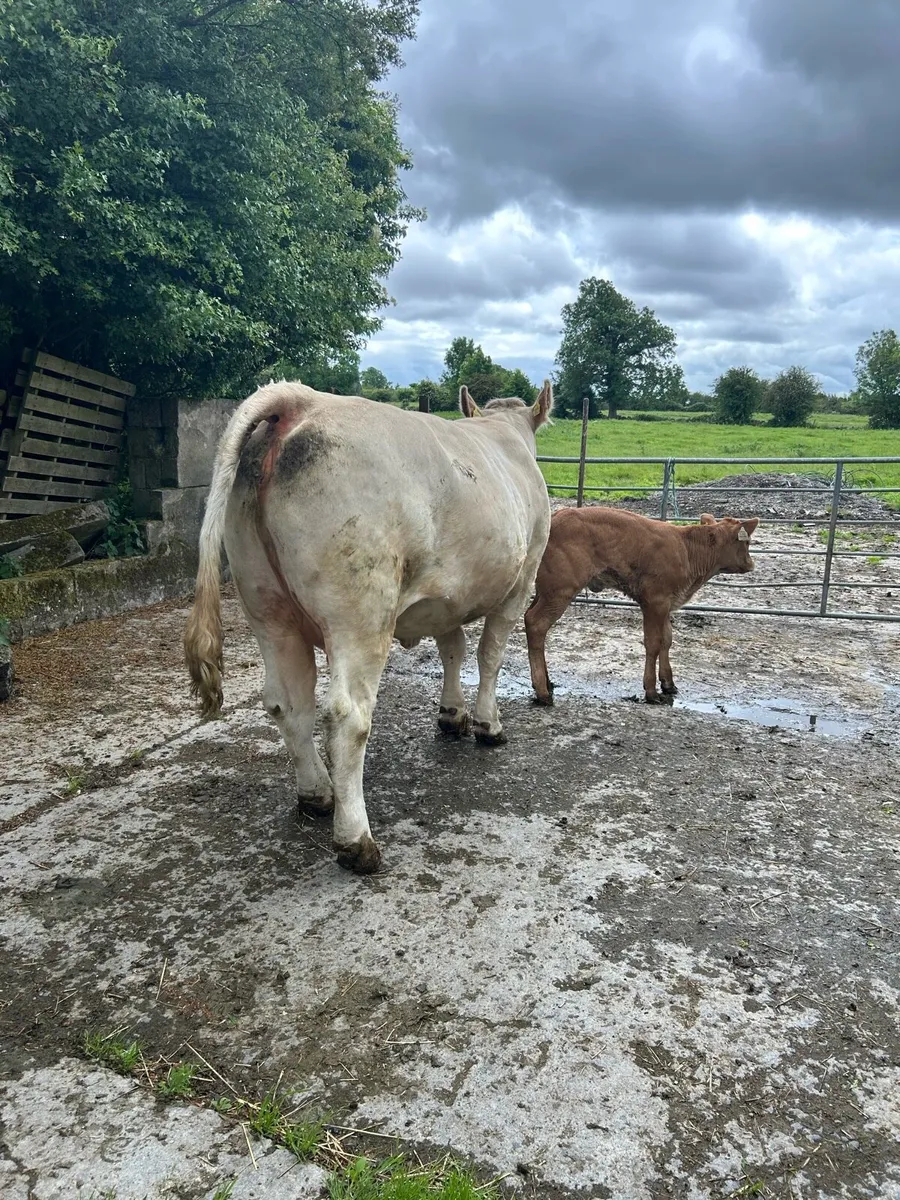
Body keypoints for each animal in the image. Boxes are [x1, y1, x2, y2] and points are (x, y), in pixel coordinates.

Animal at [184, 379, 554, 874]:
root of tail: (303, 401)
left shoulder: (446, 598)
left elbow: (452, 648)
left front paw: (451, 713)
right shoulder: (522, 577)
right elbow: (489, 656)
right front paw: (488, 724)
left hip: (266, 605)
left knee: (287, 703)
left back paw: (317, 794)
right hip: (361, 610)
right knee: (347, 716)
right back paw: (356, 840)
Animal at [525, 508, 759, 705]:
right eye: (746, 543)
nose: (751, 564)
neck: (687, 549)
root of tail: (556, 516)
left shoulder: (667, 604)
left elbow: (667, 639)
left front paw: (668, 683)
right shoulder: (655, 601)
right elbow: (653, 643)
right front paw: (652, 691)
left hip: (545, 591)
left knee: (529, 618)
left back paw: (547, 683)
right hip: (560, 590)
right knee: (536, 624)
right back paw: (543, 692)